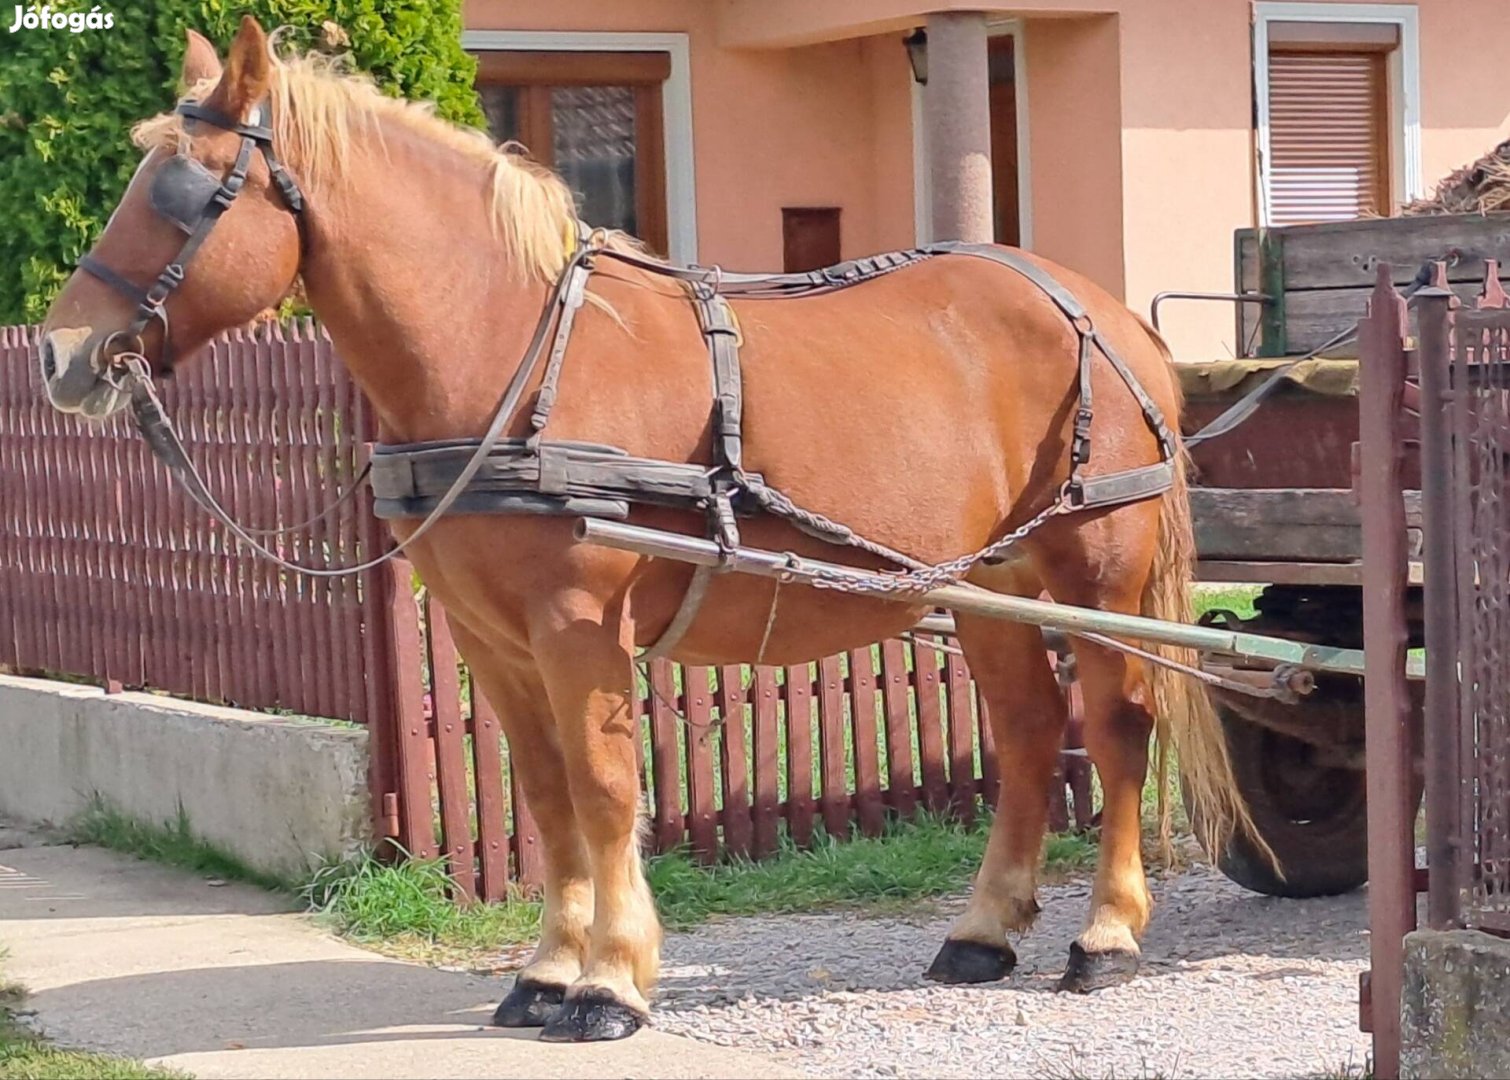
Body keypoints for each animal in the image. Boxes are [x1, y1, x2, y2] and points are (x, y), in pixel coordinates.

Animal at [41, 21, 1256, 1045]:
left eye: (189, 192)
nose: (60, 355)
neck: (513, 354)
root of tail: (1096, 305)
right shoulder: (492, 638)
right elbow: (545, 795)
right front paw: (545, 971)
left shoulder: (581, 628)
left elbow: (606, 788)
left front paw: (612, 982)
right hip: (986, 582)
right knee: (1026, 732)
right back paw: (982, 929)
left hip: (1096, 567)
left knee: (1117, 727)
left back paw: (1106, 934)